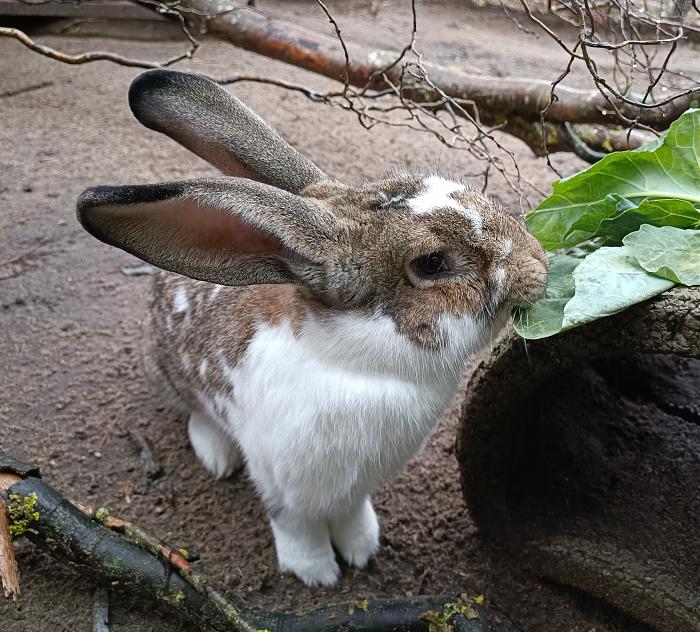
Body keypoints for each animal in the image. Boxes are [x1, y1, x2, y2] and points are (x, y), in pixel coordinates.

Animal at [77, 69, 548, 587]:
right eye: (431, 263)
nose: (538, 264)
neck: (362, 369)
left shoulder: (354, 486)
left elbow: (350, 514)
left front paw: (361, 548)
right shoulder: (281, 480)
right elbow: (295, 525)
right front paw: (318, 573)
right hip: (170, 374)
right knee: (195, 412)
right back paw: (216, 457)